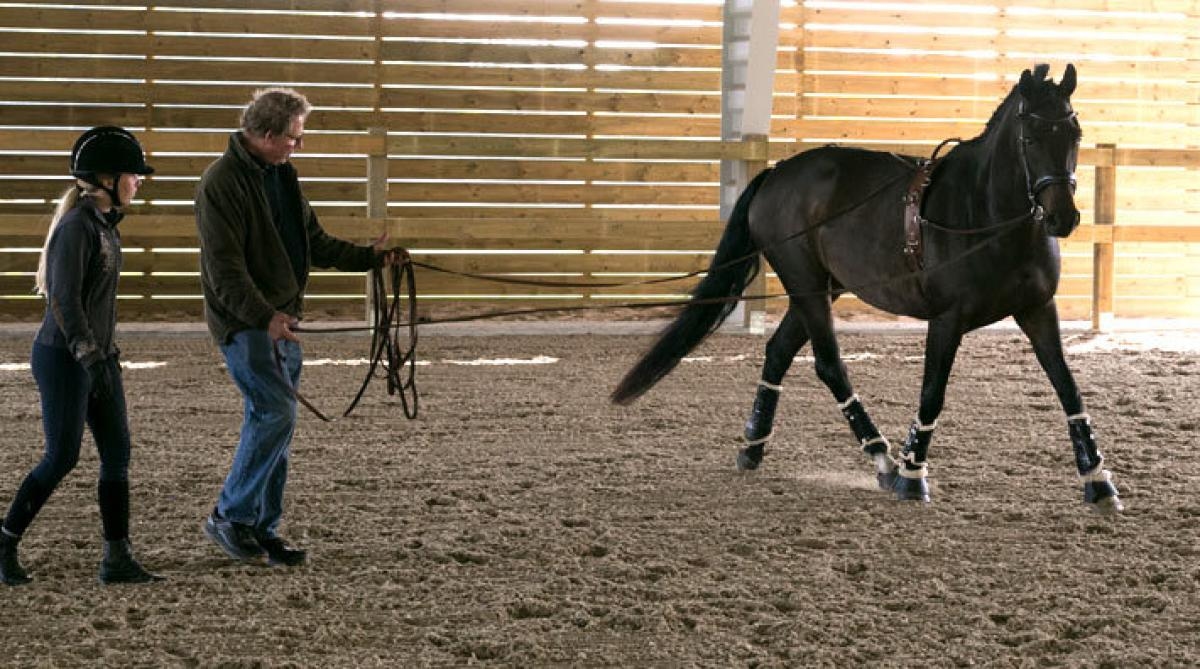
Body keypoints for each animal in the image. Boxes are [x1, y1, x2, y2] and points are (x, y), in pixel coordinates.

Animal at [614, 64, 1118, 513]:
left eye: (1074, 134)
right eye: (1030, 138)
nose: (1063, 217)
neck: (987, 214)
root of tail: (777, 172)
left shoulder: (1038, 309)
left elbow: (1068, 388)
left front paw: (1098, 481)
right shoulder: (947, 319)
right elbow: (932, 392)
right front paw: (913, 476)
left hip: (820, 289)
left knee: (778, 352)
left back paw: (753, 446)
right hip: (806, 286)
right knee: (828, 364)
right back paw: (882, 458)